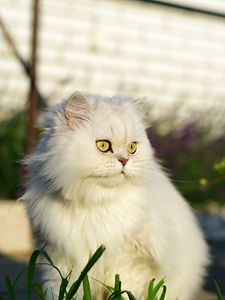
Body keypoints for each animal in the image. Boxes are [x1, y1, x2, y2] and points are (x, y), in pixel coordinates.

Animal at [22, 92, 208, 298]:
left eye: (132, 148)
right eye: (103, 146)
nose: (125, 160)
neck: (95, 202)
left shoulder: (130, 263)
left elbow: (124, 291)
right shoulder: (58, 262)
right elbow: (61, 292)